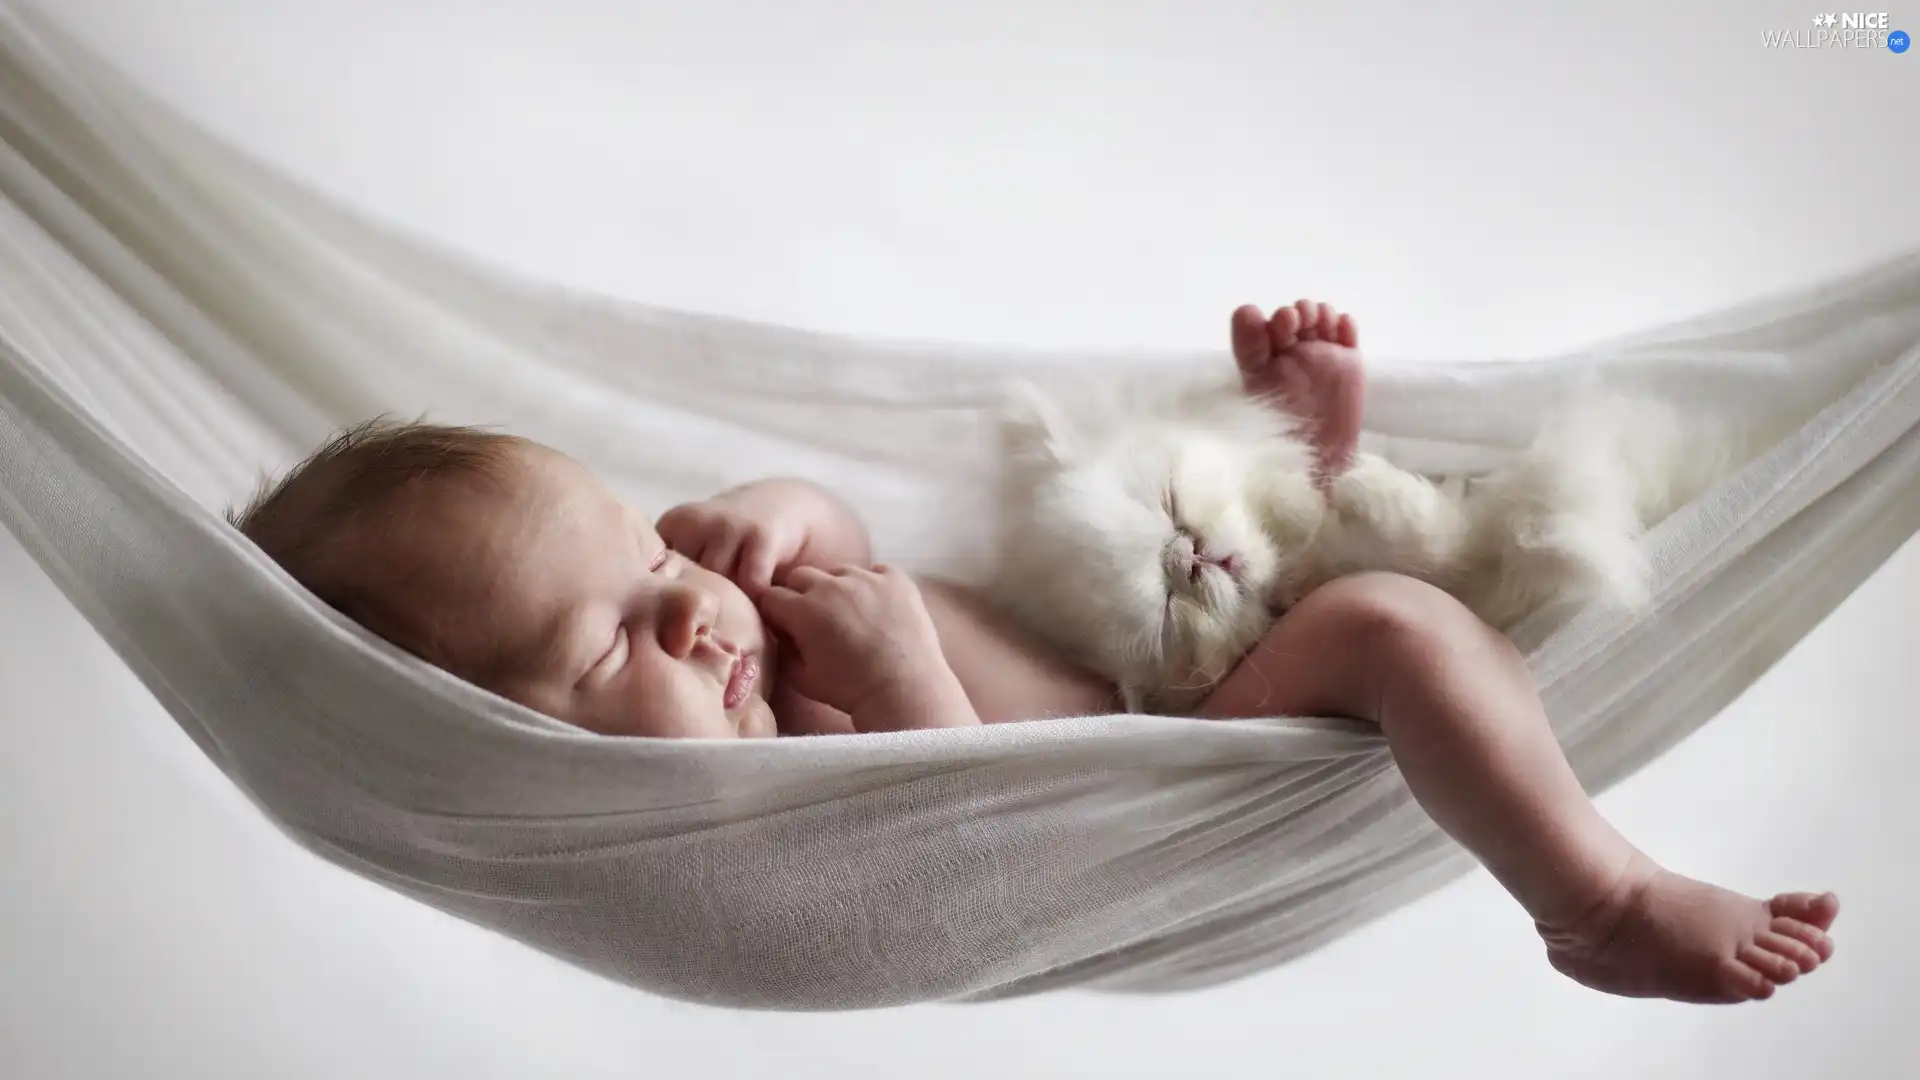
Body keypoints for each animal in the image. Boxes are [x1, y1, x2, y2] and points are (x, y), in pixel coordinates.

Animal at [990, 372, 1743, 714]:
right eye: (1169, 610)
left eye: (1170, 502)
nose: (1196, 556)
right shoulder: (1477, 583)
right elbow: (1463, 541)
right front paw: (1363, 486)